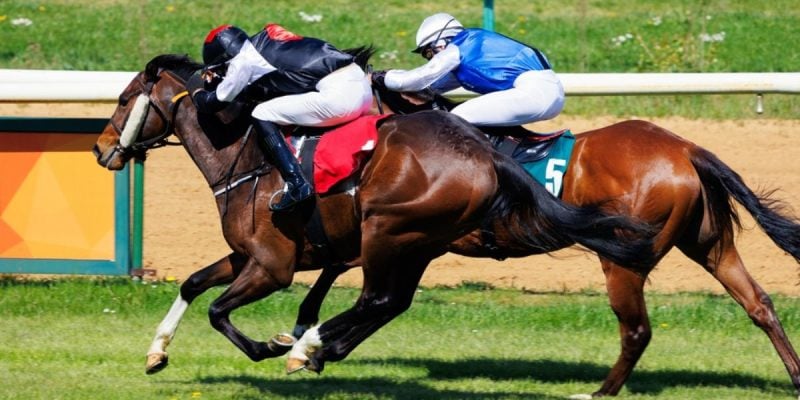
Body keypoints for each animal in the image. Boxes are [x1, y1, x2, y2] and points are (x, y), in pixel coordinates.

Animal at [91, 53, 656, 377]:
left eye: (123, 98)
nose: (100, 150)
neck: (247, 154)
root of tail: (485, 153)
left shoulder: (273, 267)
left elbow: (218, 310)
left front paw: (274, 344)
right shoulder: (248, 255)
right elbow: (192, 284)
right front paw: (157, 351)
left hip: (389, 230)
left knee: (378, 299)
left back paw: (309, 348)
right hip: (419, 240)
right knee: (390, 302)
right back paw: (318, 348)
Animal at [291, 85, 800, 397]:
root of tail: (686, 149)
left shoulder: (409, 234)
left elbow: (352, 273)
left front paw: (306, 336)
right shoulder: (418, 240)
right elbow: (377, 294)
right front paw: (316, 344)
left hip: (624, 257)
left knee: (636, 329)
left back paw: (599, 391)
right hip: (708, 244)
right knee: (758, 303)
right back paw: (795, 375)